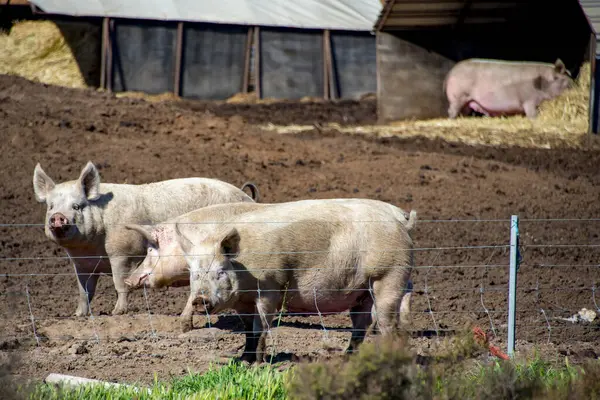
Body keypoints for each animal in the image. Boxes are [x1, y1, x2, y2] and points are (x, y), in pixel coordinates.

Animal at [32, 161, 258, 318]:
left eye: (77, 206)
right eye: (51, 206)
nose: (57, 217)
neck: (91, 249)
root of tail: (248, 196)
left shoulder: (123, 254)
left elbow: (120, 284)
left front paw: (117, 312)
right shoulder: (82, 264)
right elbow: (84, 291)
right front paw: (79, 315)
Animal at [125, 198, 418, 332]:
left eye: (150, 249)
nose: (129, 279)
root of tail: (401, 216)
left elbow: (190, 295)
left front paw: (183, 326)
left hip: (389, 269)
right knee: (409, 288)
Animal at [173, 198, 418, 364]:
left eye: (221, 271)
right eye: (194, 274)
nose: (199, 300)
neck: (244, 270)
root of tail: (402, 222)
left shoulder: (270, 286)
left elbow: (261, 327)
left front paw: (258, 364)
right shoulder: (242, 302)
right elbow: (247, 329)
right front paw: (244, 360)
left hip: (388, 276)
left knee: (388, 323)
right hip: (362, 291)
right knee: (362, 325)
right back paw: (346, 361)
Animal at [442, 58, 576, 119]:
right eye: (567, 81)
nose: (575, 86)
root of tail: (451, 72)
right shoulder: (529, 101)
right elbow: (532, 115)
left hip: (466, 102)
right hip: (458, 96)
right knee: (452, 111)